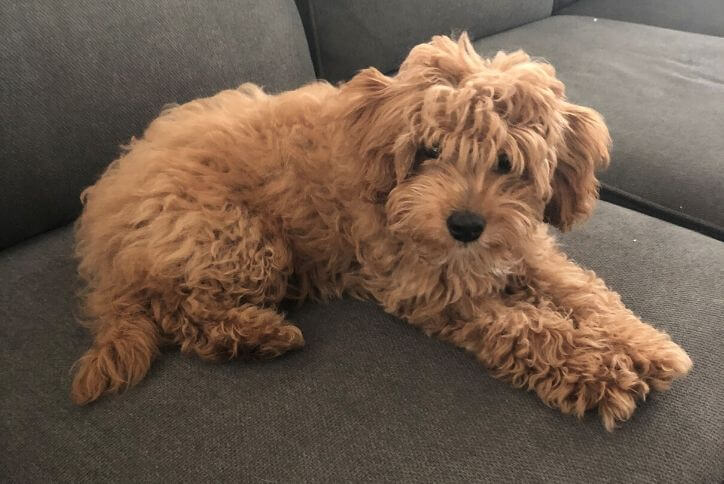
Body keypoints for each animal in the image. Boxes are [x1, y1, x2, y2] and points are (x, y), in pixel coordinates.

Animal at [72, 33, 692, 432]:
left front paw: (643, 345)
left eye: (506, 163)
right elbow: (530, 328)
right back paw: (257, 334)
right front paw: (603, 373)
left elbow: (578, 289)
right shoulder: (428, 287)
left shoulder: (519, 246)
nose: (465, 225)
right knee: (184, 312)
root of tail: (104, 236)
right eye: (431, 152)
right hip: (234, 237)